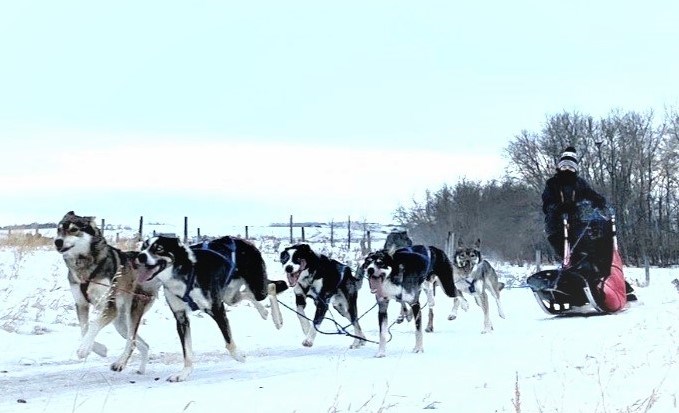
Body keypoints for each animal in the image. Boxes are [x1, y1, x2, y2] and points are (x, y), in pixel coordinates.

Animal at [137, 235, 288, 380]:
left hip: (257, 288)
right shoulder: (181, 318)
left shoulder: (217, 310)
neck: (186, 273)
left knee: (271, 287)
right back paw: (264, 312)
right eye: (144, 247)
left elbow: (228, 341)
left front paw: (239, 356)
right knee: (247, 294)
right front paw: (184, 373)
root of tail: (242, 240)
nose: (140, 256)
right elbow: (187, 351)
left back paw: (278, 320)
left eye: (159, 248)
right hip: (230, 297)